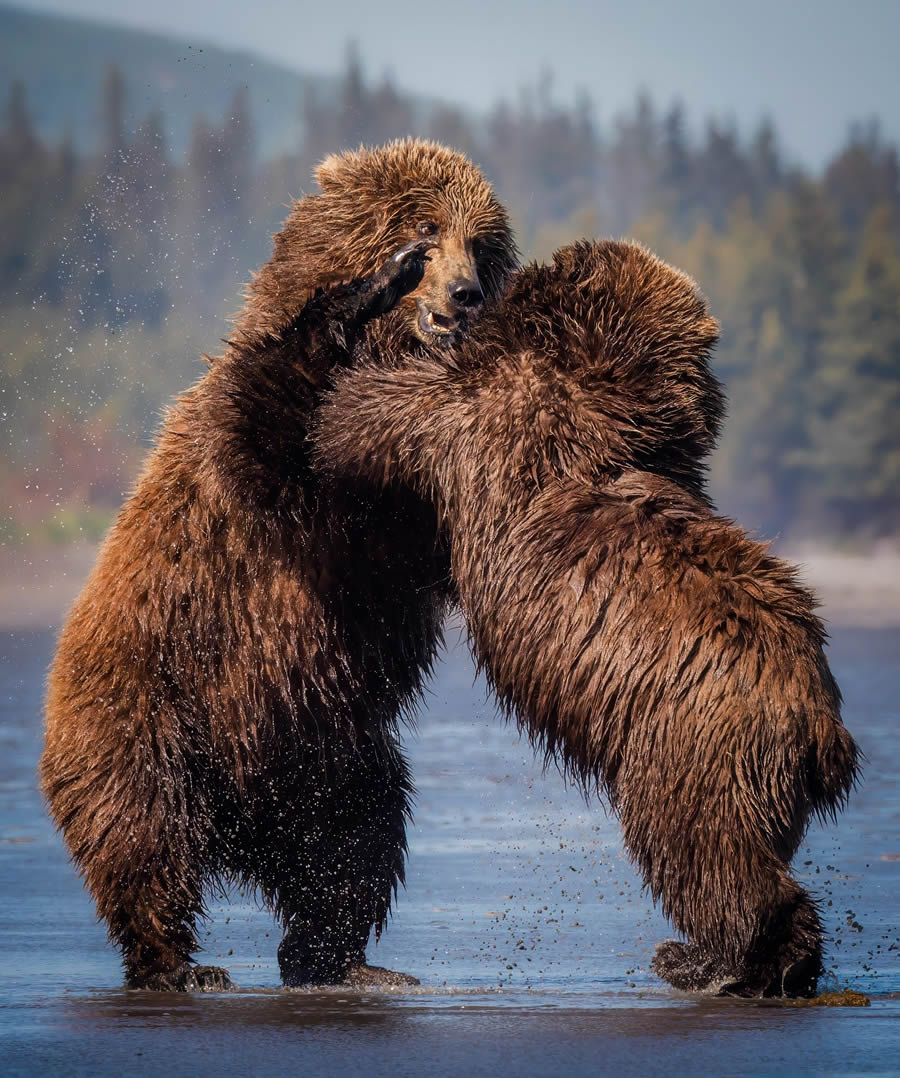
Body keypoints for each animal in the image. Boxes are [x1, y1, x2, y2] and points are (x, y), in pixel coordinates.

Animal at [42, 141, 517, 991]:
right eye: (425, 226)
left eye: (483, 244)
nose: (462, 292)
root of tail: (239, 830)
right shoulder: (263, 472)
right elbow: (268, 423)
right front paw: (367, 287)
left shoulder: (400, 500)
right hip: (150, 707)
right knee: (144, 832)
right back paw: (174, 961)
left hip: (326, 750)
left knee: (354, 840)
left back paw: (340, 959)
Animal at [312, 240, 862, 996]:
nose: (466, 294)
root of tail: (821, 724)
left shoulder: (487, 418)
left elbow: (374, 415)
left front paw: (358, 332)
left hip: (692, 742)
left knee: (704, 852)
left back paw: (717, 960)